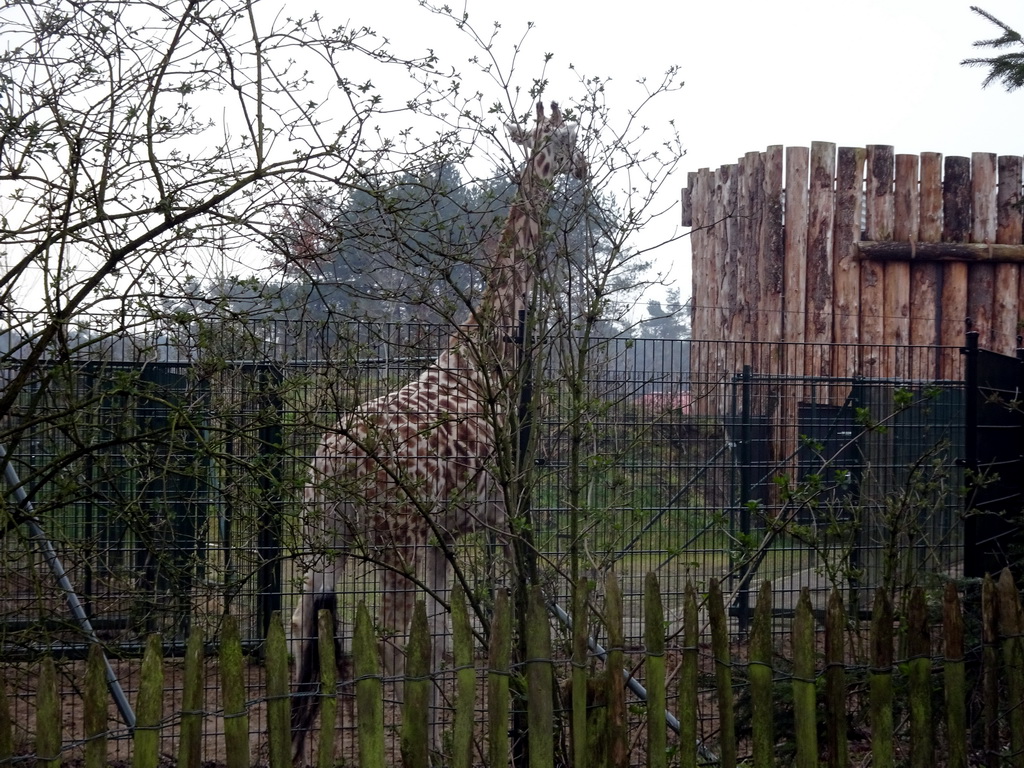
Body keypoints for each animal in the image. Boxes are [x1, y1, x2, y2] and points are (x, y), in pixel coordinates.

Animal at [292, 99, 589, 753]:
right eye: (569, 139)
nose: (582, 169)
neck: (486, 353)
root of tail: (328, 467)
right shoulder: (501, 511)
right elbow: (500, 621)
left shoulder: (444, 533)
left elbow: (446, 641)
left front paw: (436, 740)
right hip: (391, 539)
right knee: (383, 645)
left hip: (326, 539)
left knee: (312, 638)